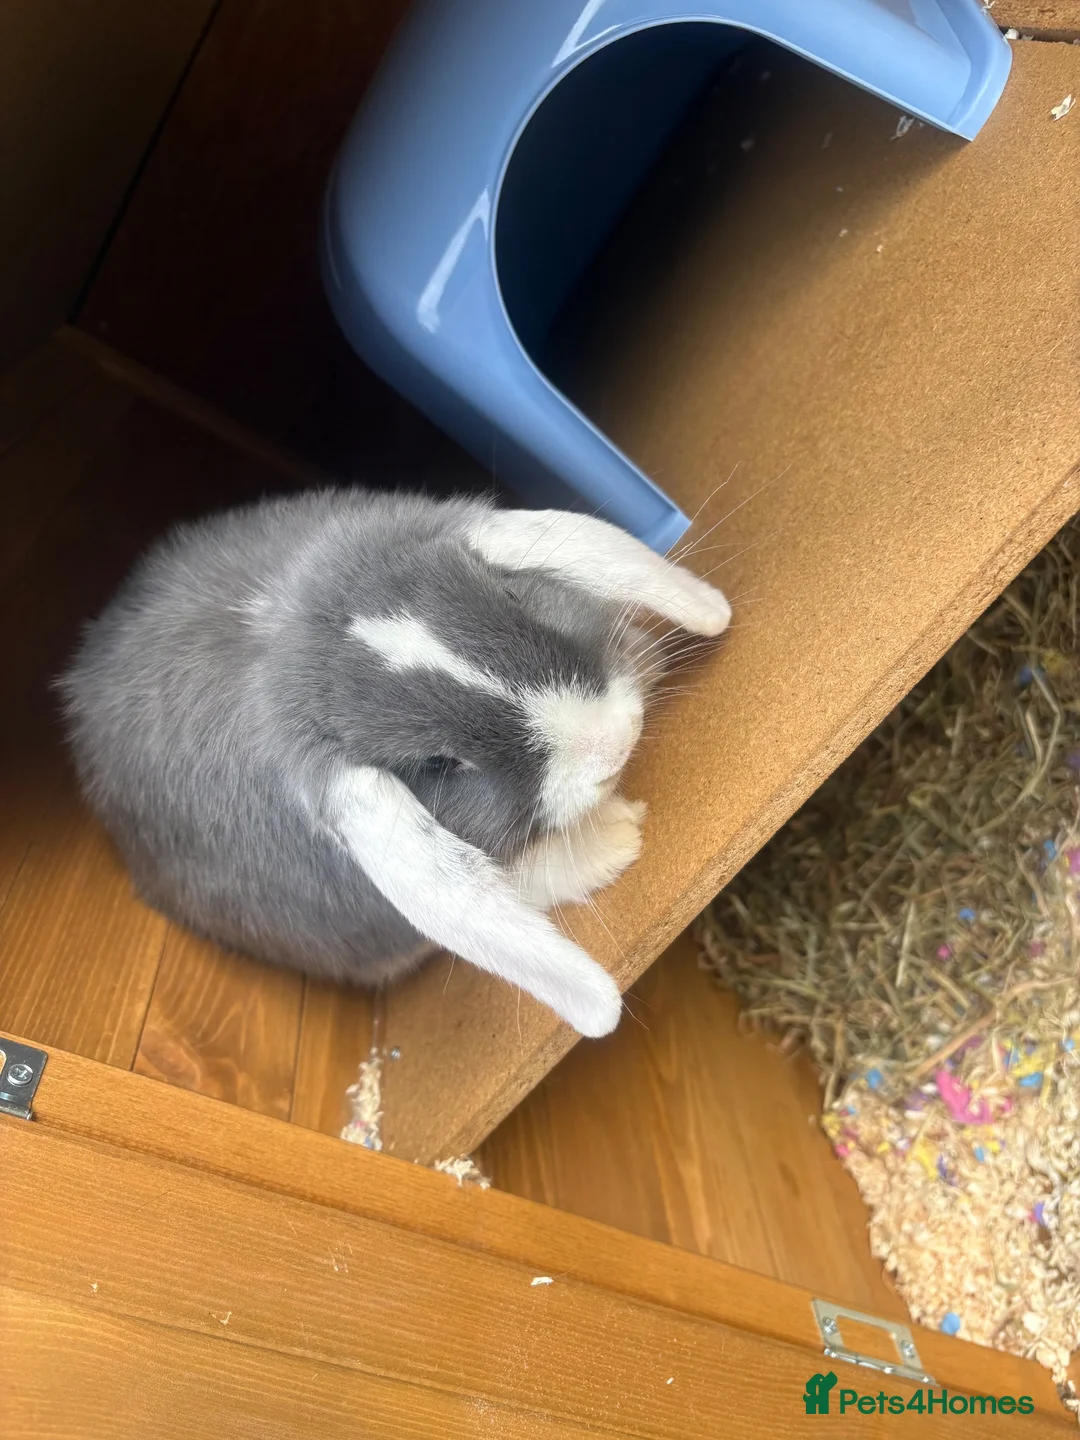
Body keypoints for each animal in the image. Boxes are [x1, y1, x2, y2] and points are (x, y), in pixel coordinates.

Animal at [58, 489, 731, 1037]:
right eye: (438, 764)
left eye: (512, 596)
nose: (612, 741)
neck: (287, 639)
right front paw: (620, 836)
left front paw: (651, 655)